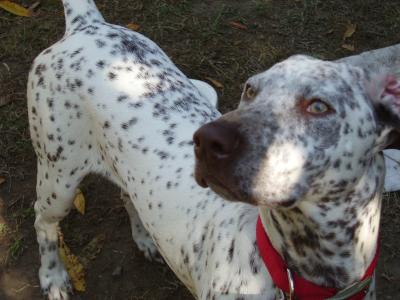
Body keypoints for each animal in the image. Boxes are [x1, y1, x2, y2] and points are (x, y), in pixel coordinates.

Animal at [28, 0, 400, 300]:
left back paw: (145, 238)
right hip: (58, 177)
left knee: (126, 195)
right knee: (42, 221)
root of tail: (87, 24)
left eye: (319, 107)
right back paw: (53, 277)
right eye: (250, 90)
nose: (207, 139)